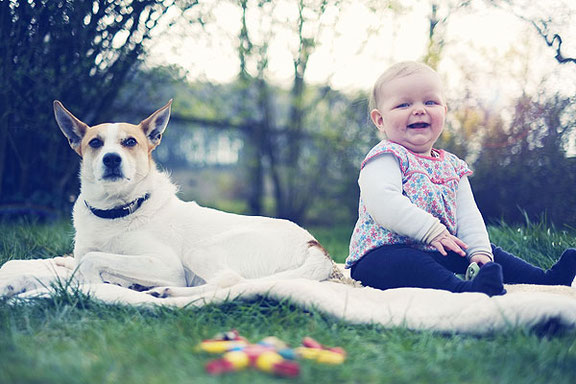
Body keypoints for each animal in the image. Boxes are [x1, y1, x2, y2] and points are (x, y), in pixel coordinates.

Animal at [42, 99, 340, 296]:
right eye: (95, 143)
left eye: (130, 142)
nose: (112, 159)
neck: (116, 210)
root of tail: (315, 246)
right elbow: (81, 259)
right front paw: (77, 266)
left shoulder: (166, 265)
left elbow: (92, 260)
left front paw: (97, 282)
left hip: (200, 250)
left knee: (226, 282)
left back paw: (166, 292)